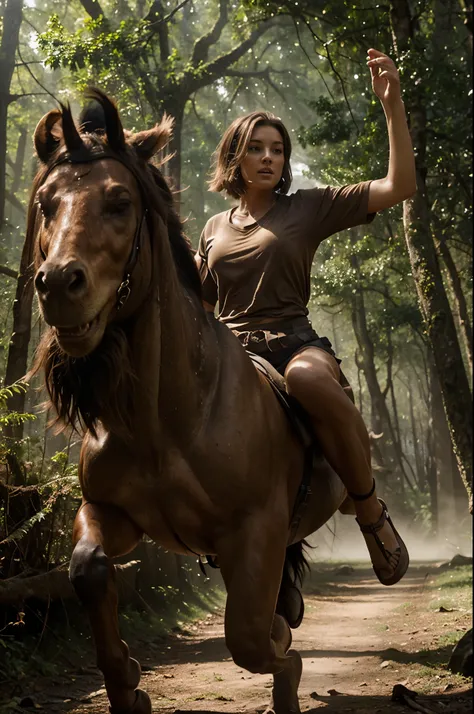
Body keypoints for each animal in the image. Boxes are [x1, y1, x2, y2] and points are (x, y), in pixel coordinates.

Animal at [27, 92, 346, 708]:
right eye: (45, 205)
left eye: (120, 201)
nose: (57, 285)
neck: (169, 420)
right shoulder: (114, 514)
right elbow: (86, 568)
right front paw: (128, 686)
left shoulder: (256, 531)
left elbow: (249, 638)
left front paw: (286, 667)